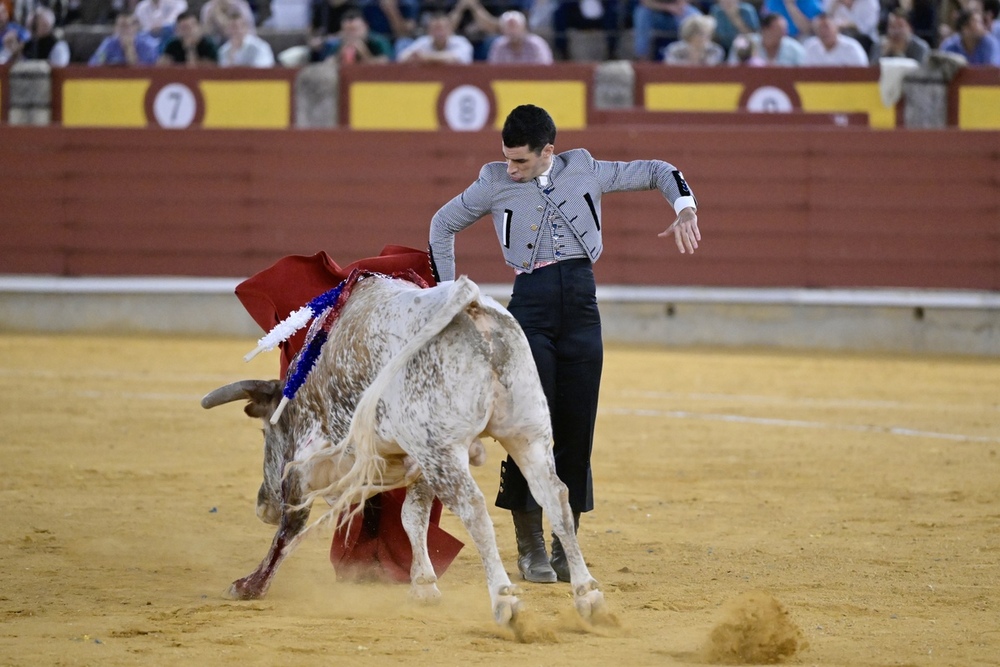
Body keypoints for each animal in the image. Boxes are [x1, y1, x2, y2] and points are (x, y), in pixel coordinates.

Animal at [202, 276, 604, 632]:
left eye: (266, 433)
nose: (262, 506)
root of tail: (472, 305)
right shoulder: (418, 461)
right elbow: (413, 517)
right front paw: (424, 586)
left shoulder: (309, 462)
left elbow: (291, 528)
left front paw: (249, 585)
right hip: (525, 433)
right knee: (556, 496)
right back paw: (588, 597)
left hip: (443, 451)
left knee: (475, 508)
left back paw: (506, 602)